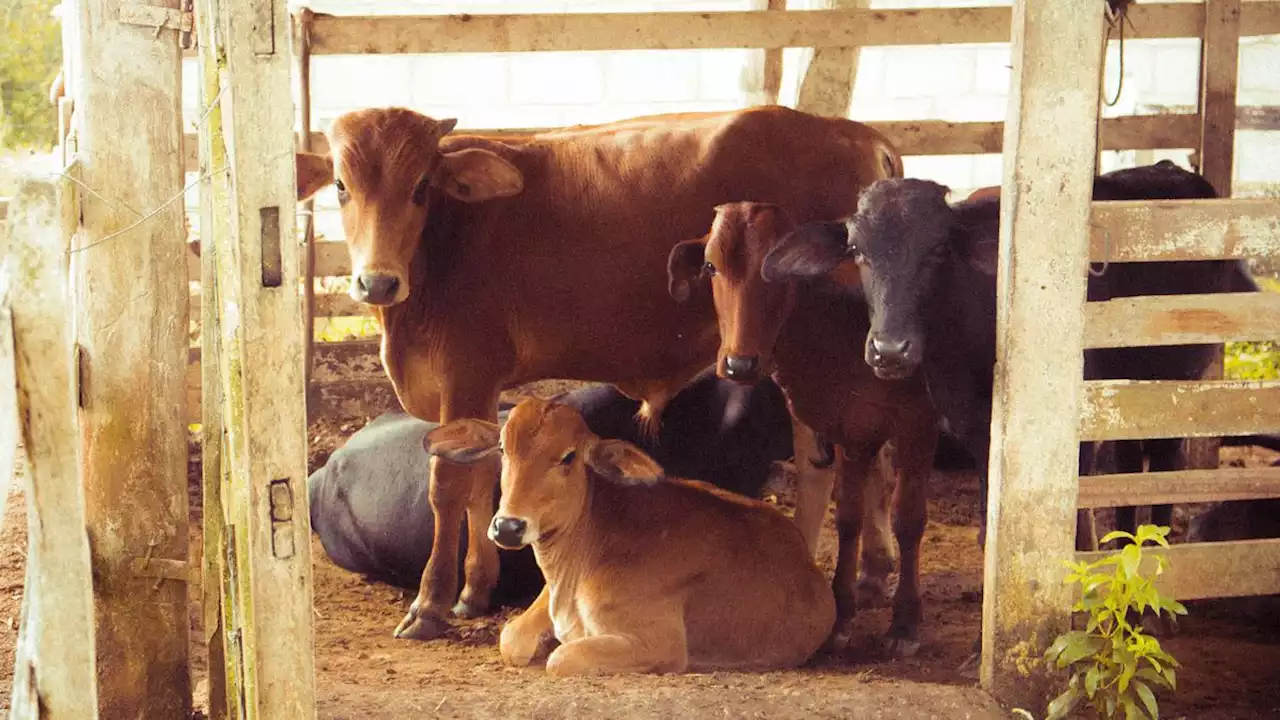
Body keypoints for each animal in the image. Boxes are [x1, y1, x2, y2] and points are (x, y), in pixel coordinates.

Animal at [294, 103, 906, 635]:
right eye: (341, 186)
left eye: (421, 186)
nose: (376, 282)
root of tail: (856, 134)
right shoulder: (479, 387)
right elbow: (481, 478)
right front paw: (475, 589)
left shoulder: (463, 373)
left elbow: (448, 486)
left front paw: (431, 603)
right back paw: (875, 571)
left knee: (827, 464)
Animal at [424, 397, 834, 671]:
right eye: (502, 448)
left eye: (569, 457)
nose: (509, 526)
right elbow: (510, 639)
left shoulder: (661, 643)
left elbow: (562, 657)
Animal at [670, 202, 942, 655]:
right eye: (710, 266)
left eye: (779, 271)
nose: (740, 364)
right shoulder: (851, 429)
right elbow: (848, 517)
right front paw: (840, 615)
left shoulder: (918, 423)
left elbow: (908, 518)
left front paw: (904, 623)